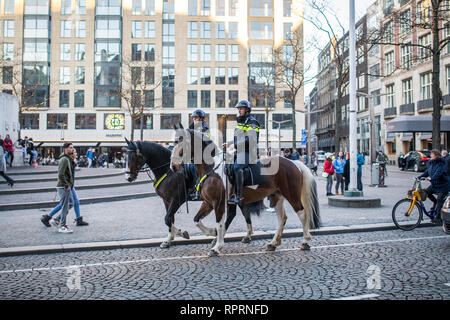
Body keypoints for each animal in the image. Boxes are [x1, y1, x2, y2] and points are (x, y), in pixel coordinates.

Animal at [171, 129, 322, 251]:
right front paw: (212, 234)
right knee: (282, 218)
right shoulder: (208, 203)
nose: (173, 166)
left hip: (292, 194)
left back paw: (305, 241)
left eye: (181, 144)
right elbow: (197, 220)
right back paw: (273, 243)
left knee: (302, 213)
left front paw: (217, 246)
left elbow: (219, 224)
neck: (211, 169)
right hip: (276, 196)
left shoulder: (218, 203)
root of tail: (294, 163)